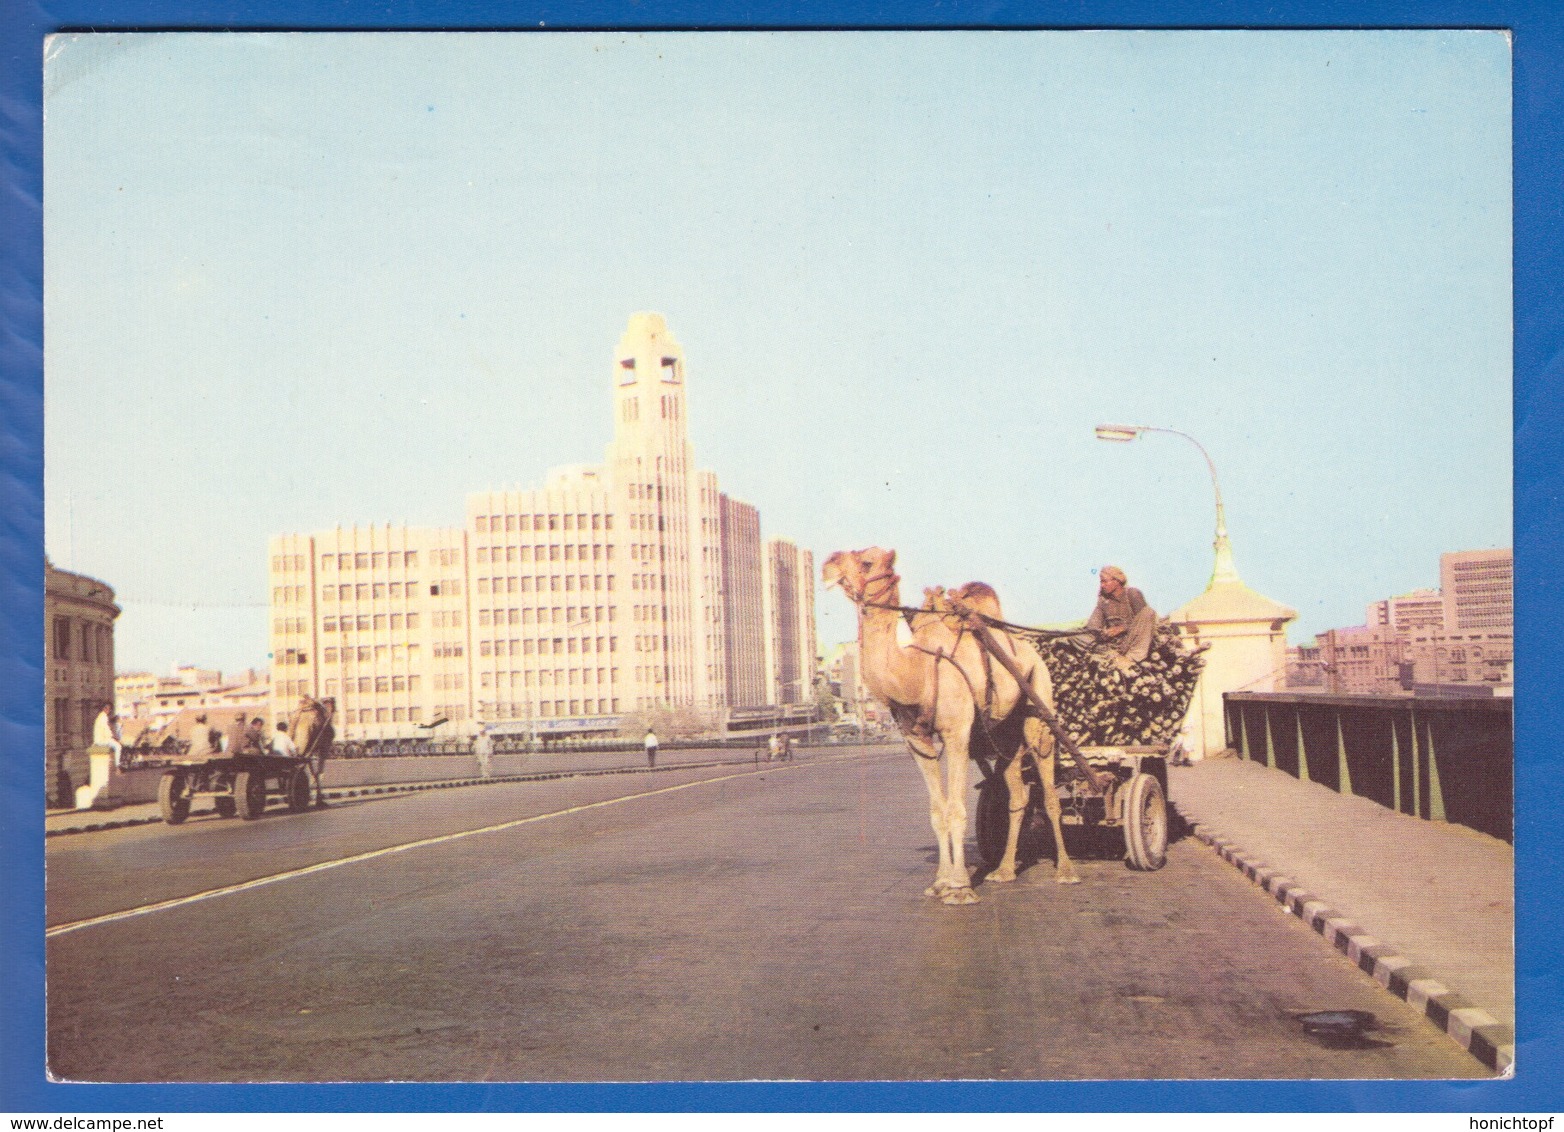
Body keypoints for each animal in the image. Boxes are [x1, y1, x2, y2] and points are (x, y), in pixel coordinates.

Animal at [819, 547, 1076, 900]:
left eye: (867, 561)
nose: (827, 565)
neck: (918, 673)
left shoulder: (957, 734)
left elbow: (956, 809)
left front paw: (959, 886)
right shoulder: (917, 742)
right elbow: (937, 811)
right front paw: (940, 882)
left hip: (1038, 699)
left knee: (1049, 791)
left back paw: (1065, 871)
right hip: (1004, 732)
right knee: (1017, 796)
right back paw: (1004, 871)